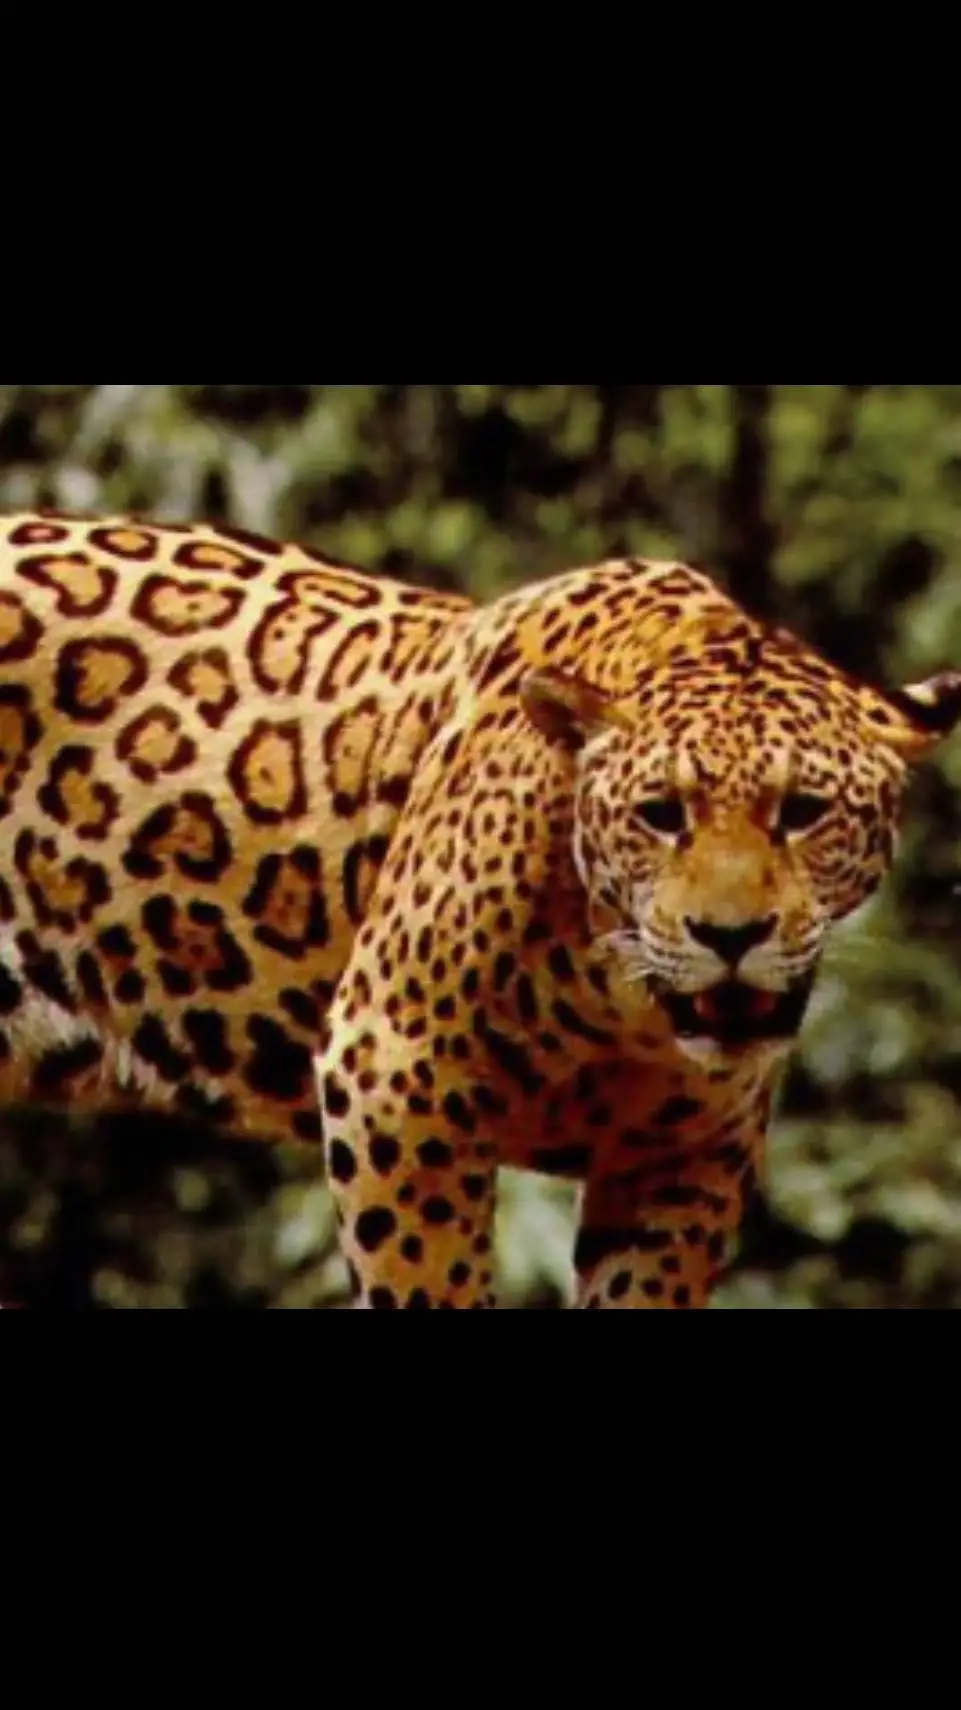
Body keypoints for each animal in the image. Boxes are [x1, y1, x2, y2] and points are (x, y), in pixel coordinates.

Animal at [0, 507, 957, 1309]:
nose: (730, 937)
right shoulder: (393, 1071)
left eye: (801, 812)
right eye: (661, 814)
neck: (621, 1000)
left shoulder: (688, 1152)